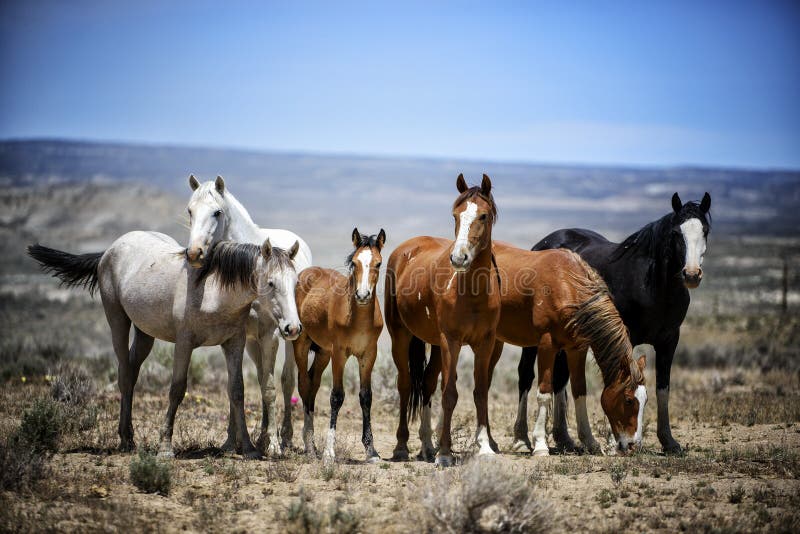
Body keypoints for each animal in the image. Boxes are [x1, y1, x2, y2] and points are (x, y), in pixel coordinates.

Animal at [28, 231, 302, 460]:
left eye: (295, 283)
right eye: (270, 283)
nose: (293, 328)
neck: (212, 290)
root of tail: (109, 250)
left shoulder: (234, 343)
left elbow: (237, 391)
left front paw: (248, 447)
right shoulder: (184, 344)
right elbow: (177, 389)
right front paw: (165, 447)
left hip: (145, 334)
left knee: (132, 373)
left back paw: (128, 436)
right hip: (117, 320)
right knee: (125, 375)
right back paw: (125, 440)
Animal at [187, 176, 312, 456]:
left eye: (217, 212)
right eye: (190, 211)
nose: (194, 252)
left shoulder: (271, 335)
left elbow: (270, 388)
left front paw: (274, 445)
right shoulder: (238, 336)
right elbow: (237, 386)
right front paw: (230, 442)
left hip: (289, 339)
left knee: (286, 380)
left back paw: (286, 438)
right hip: (254, 343)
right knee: (262, 373)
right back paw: (264, 434)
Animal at [292, 228, 386, 466]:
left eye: (378, 263)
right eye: (354, 262)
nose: (362, 295)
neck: (358, 319)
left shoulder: (368, 355)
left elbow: (366, 397)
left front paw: (371, 451)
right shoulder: (339, 354)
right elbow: (336, 397)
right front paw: (329, 453)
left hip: (323, 352)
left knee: (313, 384)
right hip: (302, 344)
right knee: (304, 384)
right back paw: (310, 446)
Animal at [416, 245, 648, 458]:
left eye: (645, 400)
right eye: (629, 400)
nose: (632, 446)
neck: (567, 283)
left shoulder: (577, 349)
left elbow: (579, 390)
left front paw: (590, 441)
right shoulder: (546, 345)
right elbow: (544, 392)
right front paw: (540, 444)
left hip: (493, 345)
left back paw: (486, 441)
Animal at [520, 193, 712, 456]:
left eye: (705, 230)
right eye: (676, 233)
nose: (691, 275)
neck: (653, 287)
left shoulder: (670, 340)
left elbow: (663, 388)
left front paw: (669, 441)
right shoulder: (625, 335)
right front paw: (614, 441)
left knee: (559, 379)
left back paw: (564, 439)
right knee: (525, 376)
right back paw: (522, 438)